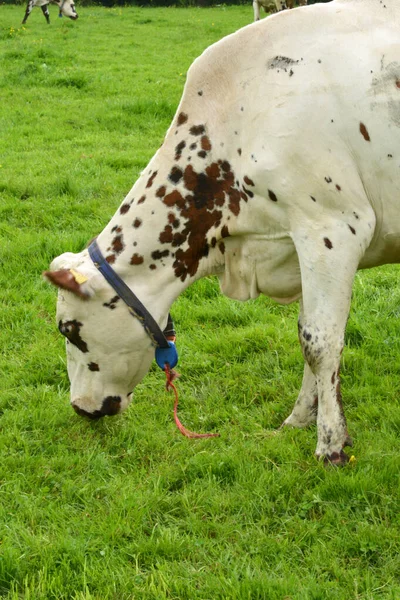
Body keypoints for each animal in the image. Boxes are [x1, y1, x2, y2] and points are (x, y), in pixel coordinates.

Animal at [44, 0, 400, 466]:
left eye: (68, 330)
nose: (80, 408)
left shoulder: (332, 228)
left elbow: (321, 342)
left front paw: (330, 443)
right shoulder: (299, 241)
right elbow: (305, 333)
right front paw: (299, 419)